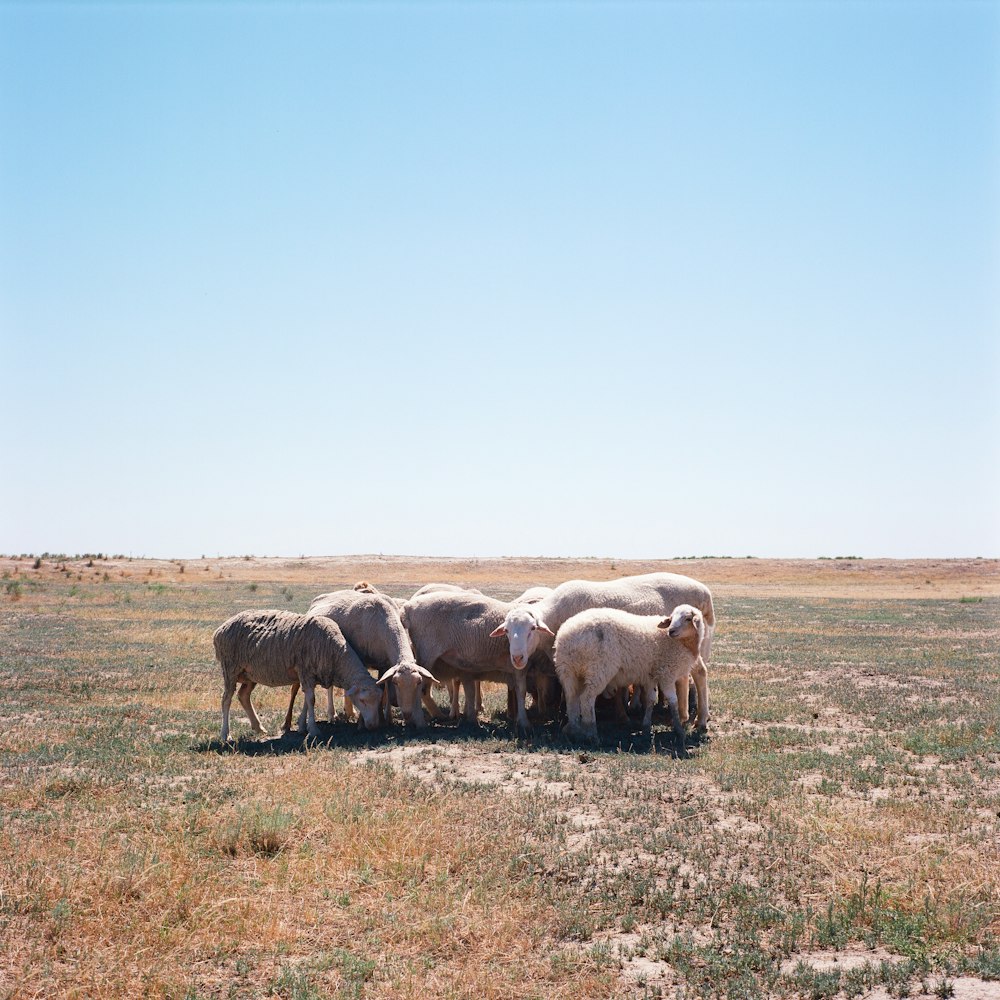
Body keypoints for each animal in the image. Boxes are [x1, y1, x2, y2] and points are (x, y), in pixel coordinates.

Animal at [213, 608, 380, 744]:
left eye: (379, 701)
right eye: (362, 700)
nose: (373, 726)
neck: (335, 653)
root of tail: (219, 630)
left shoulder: (308, 675)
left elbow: (307, 699)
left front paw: (302, 726)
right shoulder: (306, 671)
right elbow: (311, 700)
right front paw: (313, 730)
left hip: (250, 673)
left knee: (243, 695)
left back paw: (259, 727)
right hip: (230, 668)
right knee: (226, 699)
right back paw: (225, 735)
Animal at [402, 588, 536, 740]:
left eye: (532, 629)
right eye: (507, 630)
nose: (518, 655)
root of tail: (409, 607)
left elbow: (518, 690)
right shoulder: (520, 665)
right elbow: (521, 691)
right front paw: (525, 722)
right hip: (426, 653)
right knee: (420, 688)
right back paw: (425, 719)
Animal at [556, 600, 712, 752]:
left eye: (687, 618)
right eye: (672, 618)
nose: (671, 631)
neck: (683, 644)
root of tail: (566, 635)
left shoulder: (651, 675)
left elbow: (650, 699)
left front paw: (646, 728)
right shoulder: (666, 673)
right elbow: (673, 701)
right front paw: (679, 730)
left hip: (568, 671)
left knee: (572, 699)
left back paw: (575, 731)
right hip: (598, 669)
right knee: (586, 699)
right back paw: (592, 735)